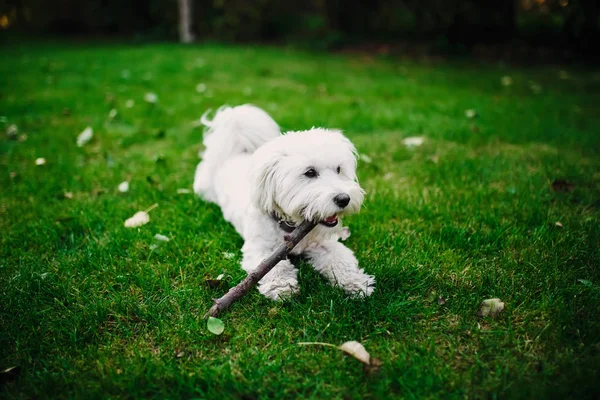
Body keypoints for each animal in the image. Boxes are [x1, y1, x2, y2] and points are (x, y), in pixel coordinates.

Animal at [193, 104, 376, 298]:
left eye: (339, 169)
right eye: (310, 172)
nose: (344, 199)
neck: (291, 225)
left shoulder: (325, 243)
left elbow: (341, 260)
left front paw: (355, 282)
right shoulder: (261, 248)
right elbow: (274, 268)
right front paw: (281, 286)